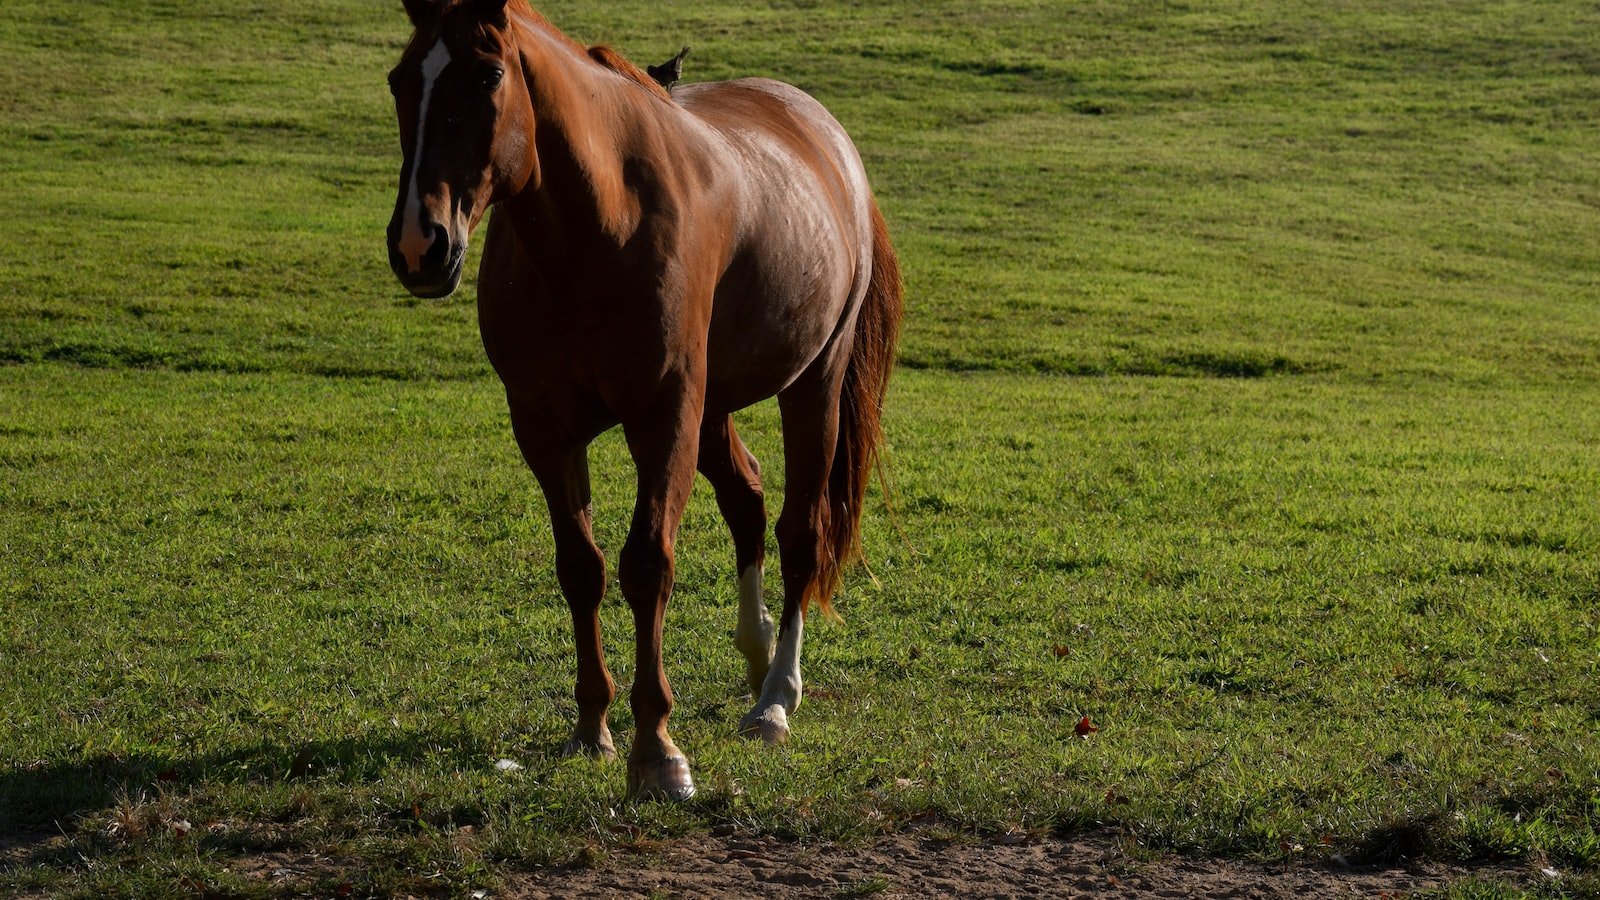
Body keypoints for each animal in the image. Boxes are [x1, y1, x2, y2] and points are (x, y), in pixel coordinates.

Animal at [377, 0, 902, 797]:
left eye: (489, 75)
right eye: (400, 78)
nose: (419, 243)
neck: (597, 228)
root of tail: (826, 135)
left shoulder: (662, 414)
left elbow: (647, 564)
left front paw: (656, 748)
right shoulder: (544, 426)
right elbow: (582, 568)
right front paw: (591, 726)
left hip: (811, 386)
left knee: (799, 532)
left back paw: (777, 697)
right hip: (713, 408)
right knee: (747, 500)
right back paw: (756, 655)